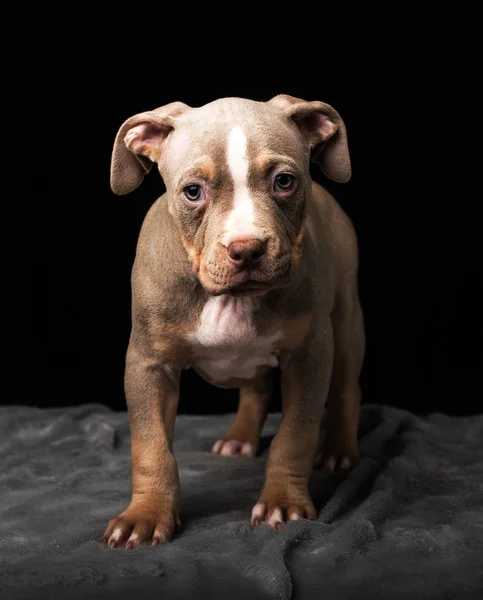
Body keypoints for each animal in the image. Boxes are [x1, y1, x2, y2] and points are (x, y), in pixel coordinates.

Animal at [104, 94, 364, 548]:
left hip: (347, 321)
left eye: (284, 181)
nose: (247, 248)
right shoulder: (148, 363)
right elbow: (150, 446)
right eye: (193, 191)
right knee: (256, 387)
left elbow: (295, 434)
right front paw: (146, 516)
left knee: (347, 385)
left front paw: (283, 503)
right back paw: (241, 438)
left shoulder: (310, 355)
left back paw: (339, 450)